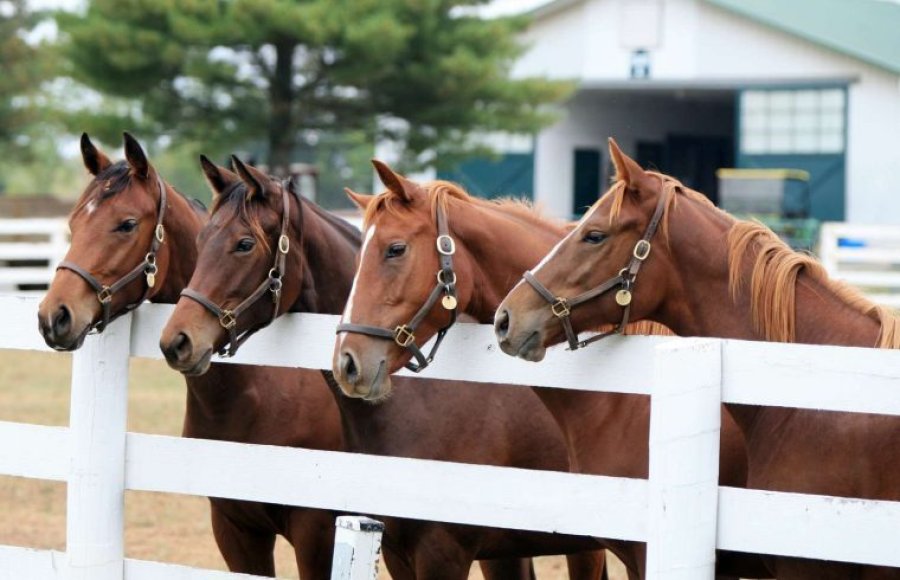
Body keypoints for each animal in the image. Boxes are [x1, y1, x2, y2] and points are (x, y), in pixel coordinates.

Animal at [37, 133, 342, 580]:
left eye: (127, 224)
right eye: (74, 224)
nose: (53, 316)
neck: (264, 387)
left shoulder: (317, 531)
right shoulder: (234, 527)